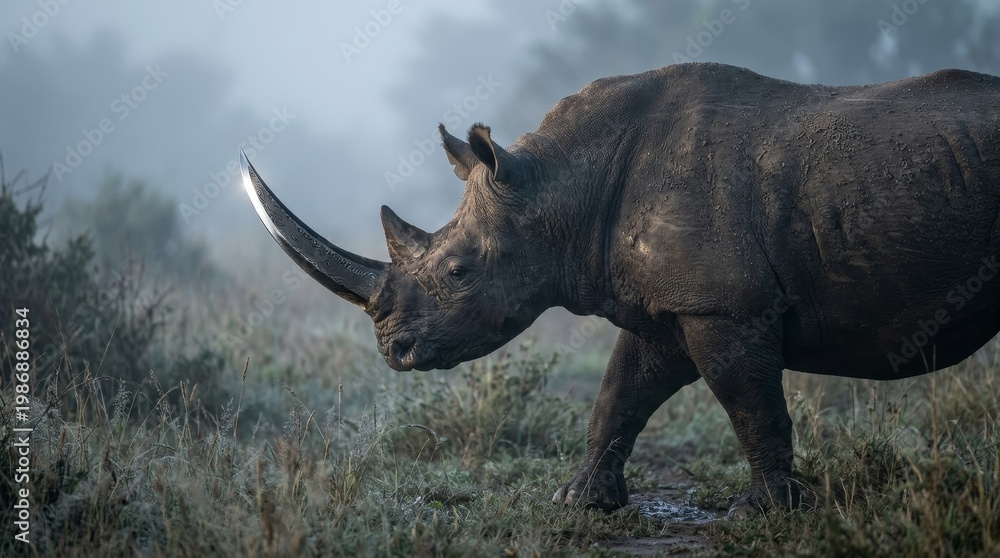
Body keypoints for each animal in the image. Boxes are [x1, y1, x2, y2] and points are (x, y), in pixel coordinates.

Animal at [241, 63, 1000, 518]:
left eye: (458, 272)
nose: (392, 350)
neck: (556, 187)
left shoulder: (725, 305)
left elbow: (751, 405)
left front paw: (767, 512)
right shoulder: (675, 306)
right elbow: (618, 395)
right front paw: (579, 501)